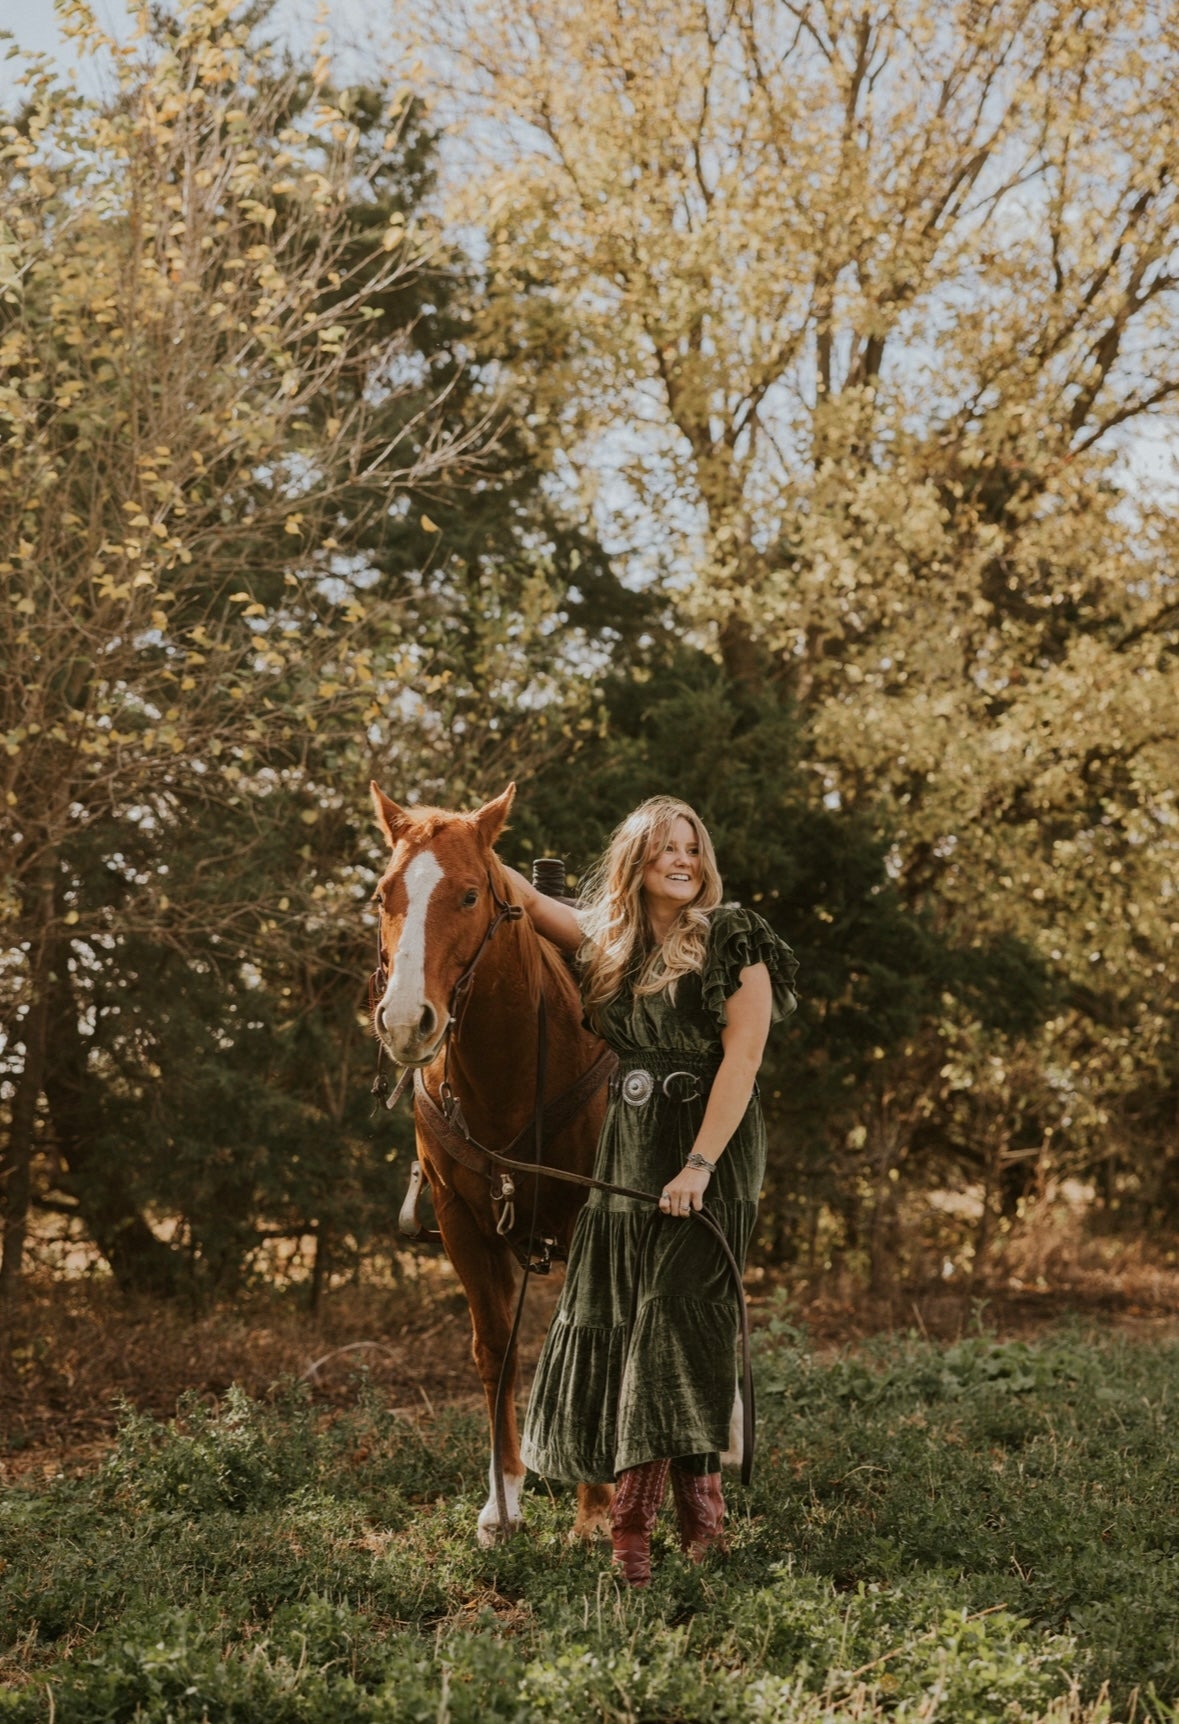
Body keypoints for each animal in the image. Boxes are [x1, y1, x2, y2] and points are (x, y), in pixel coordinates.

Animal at [370, 782, 617, 1551]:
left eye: (471, 895)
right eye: (383, 894)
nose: (404, 1021)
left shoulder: (592, 1217)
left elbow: (592, 1338)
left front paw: (595, 1507)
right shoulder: (462, 1223)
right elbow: (495, 1350)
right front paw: (503, 1500)